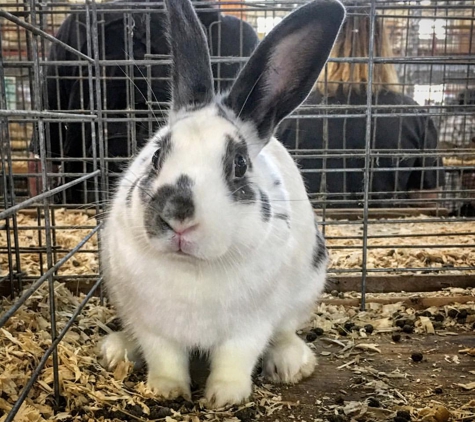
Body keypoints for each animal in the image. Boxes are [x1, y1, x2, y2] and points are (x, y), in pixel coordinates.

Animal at [100, 0, 346, 408]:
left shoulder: (250, 326)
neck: (194, 269)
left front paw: (224, 397)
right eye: (156, 156)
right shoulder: (153, 325)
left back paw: (290, 363)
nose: (176, 215)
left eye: (239, 165)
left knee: (284, 333)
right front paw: (166, 389)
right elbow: (164, 356)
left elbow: (235, 358)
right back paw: (117, 349)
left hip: (304, 291)